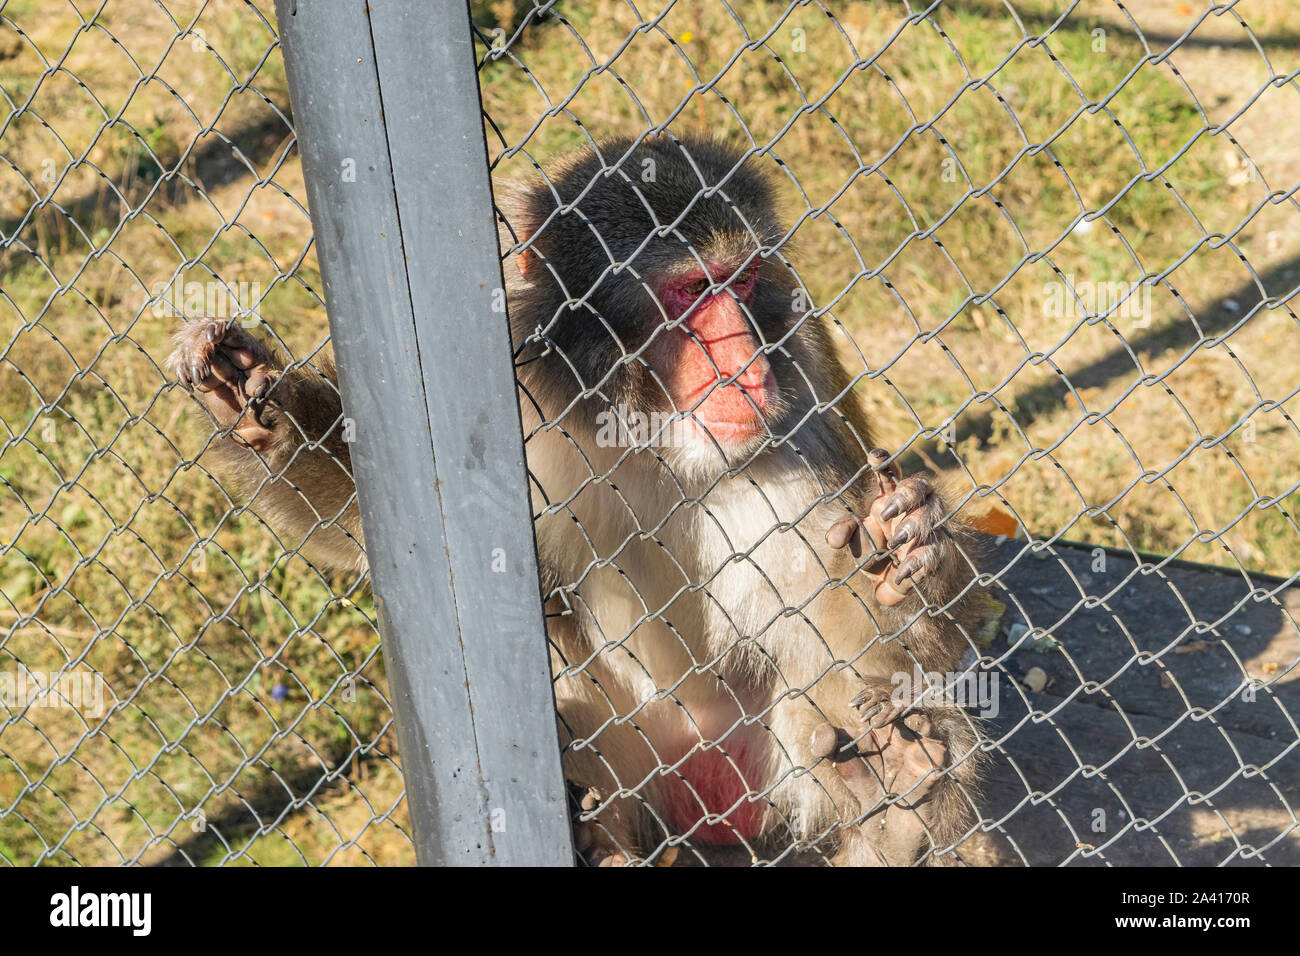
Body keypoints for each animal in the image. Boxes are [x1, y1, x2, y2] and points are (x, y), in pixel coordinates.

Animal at [169, 134, 988, 866]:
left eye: (745, 280)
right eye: (693, 289)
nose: (747, 364)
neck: (650, 429)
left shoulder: (803, 396)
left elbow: (864, 638)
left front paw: (907, 558)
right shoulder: (514, 389)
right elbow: (380, 534)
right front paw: (255, 406)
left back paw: (897, 812)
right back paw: (601, 843)